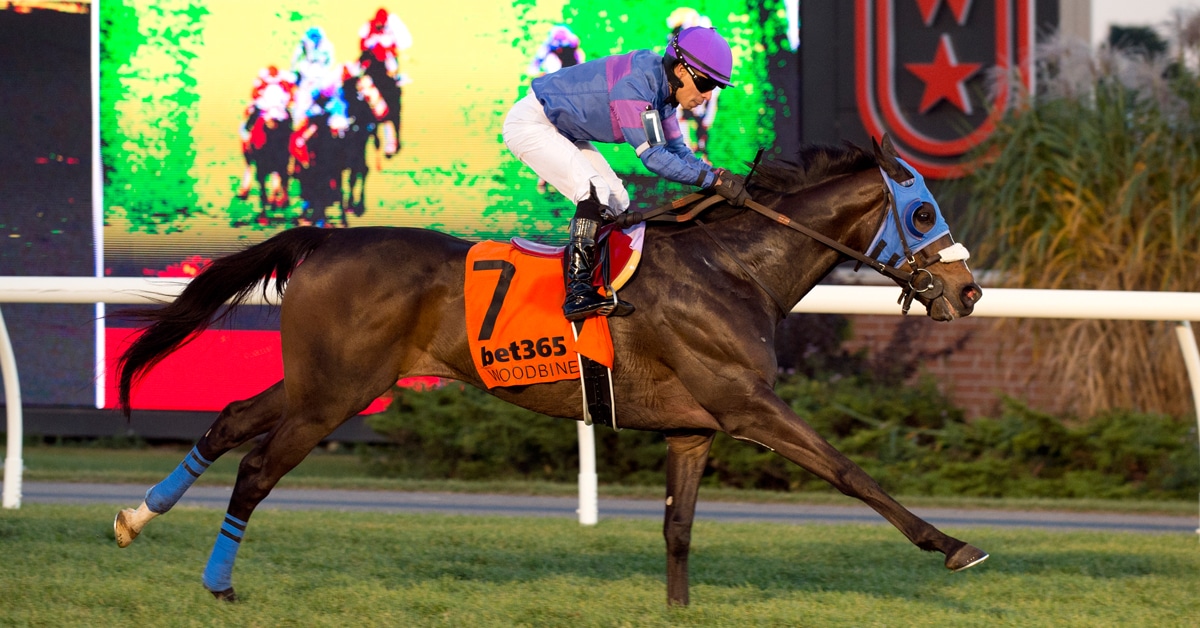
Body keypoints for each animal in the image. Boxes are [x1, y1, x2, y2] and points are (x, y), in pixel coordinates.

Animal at [112, 136, 986, 606]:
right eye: (922, 212)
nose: (969, 290)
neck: (733, 267)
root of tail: (324, 237)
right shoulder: (746, 404)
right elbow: (848, 470)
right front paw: (951, 545)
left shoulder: (694, 427)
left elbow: (677, 528)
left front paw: (677, 609)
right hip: (335, 394)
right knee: (257, 467)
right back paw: (218, 582)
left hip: (319, 383)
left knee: (228, 421)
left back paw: (136, 518)